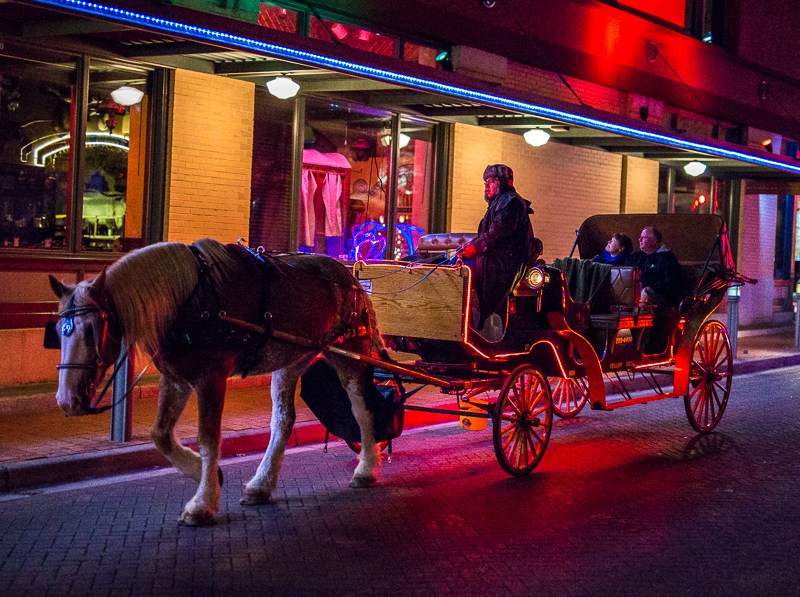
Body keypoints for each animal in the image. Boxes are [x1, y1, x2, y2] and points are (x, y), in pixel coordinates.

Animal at [48, 239, 386, 528]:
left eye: (92, 329)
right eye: (57, 330)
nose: (67, 399)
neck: (189, 302)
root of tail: (349, 277)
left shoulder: (211, 378)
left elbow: (208, 438)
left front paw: (202, 504)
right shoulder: (176, 379)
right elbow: (161, 435)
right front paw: (201, 473)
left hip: (350, 354)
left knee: (362, 410)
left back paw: (366, 468)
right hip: (290, 362)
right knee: (283, 420)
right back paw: (261, 485)